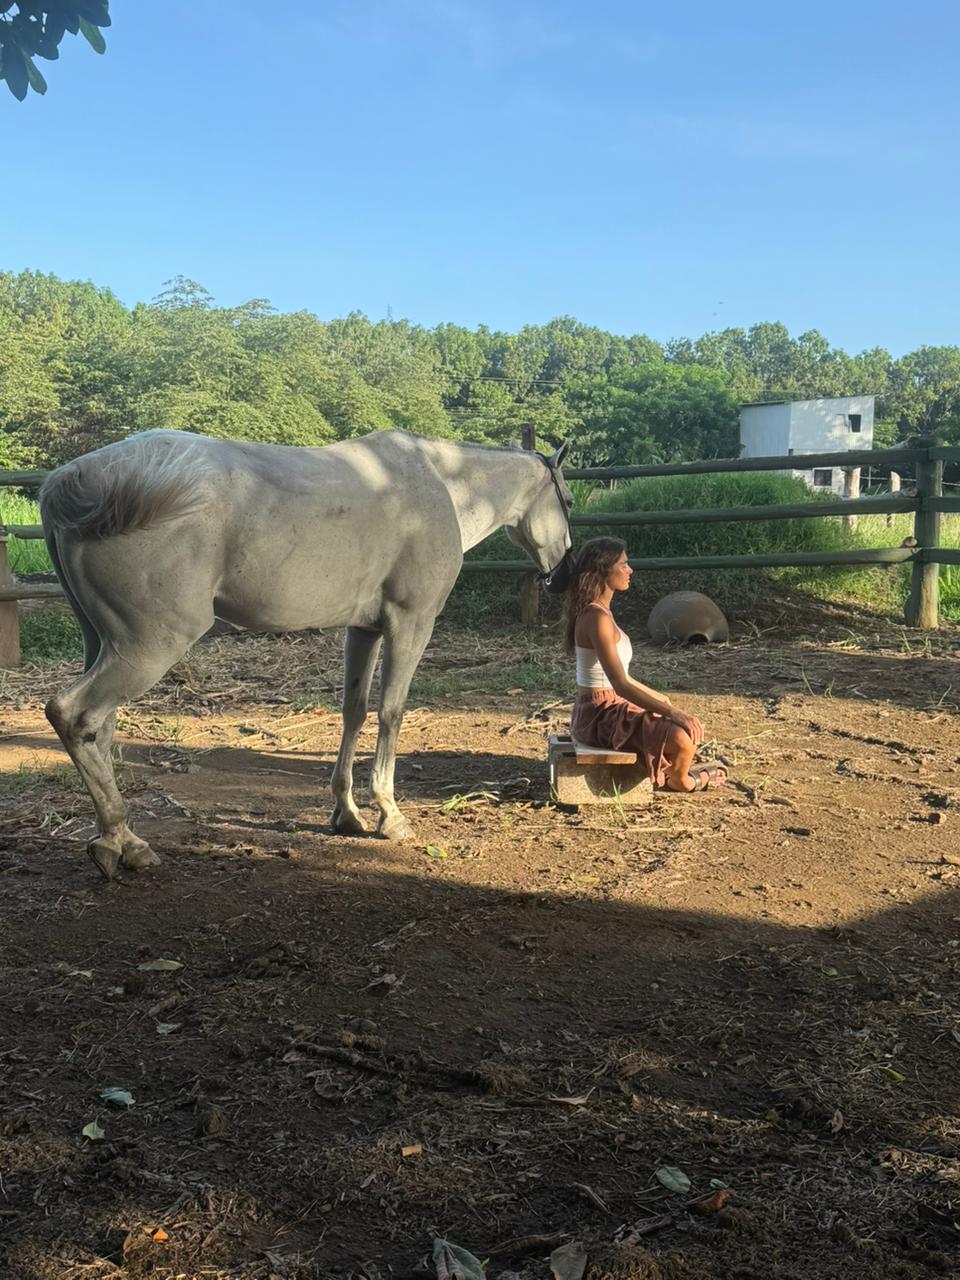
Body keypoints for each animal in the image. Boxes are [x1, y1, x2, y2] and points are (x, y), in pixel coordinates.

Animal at [39, 428, 573, 880]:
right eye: (567, 500)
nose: (564, 576)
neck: (440, 484)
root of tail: (67, 482)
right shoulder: (410, 623)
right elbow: (392, 711)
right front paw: (389, 814)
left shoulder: (364, 630)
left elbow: (354, 711)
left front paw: (347, 813)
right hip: (148, 647)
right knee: (73, 714)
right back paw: (122, 840)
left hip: (104, 645)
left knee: (99, 728)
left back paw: (119, 839)